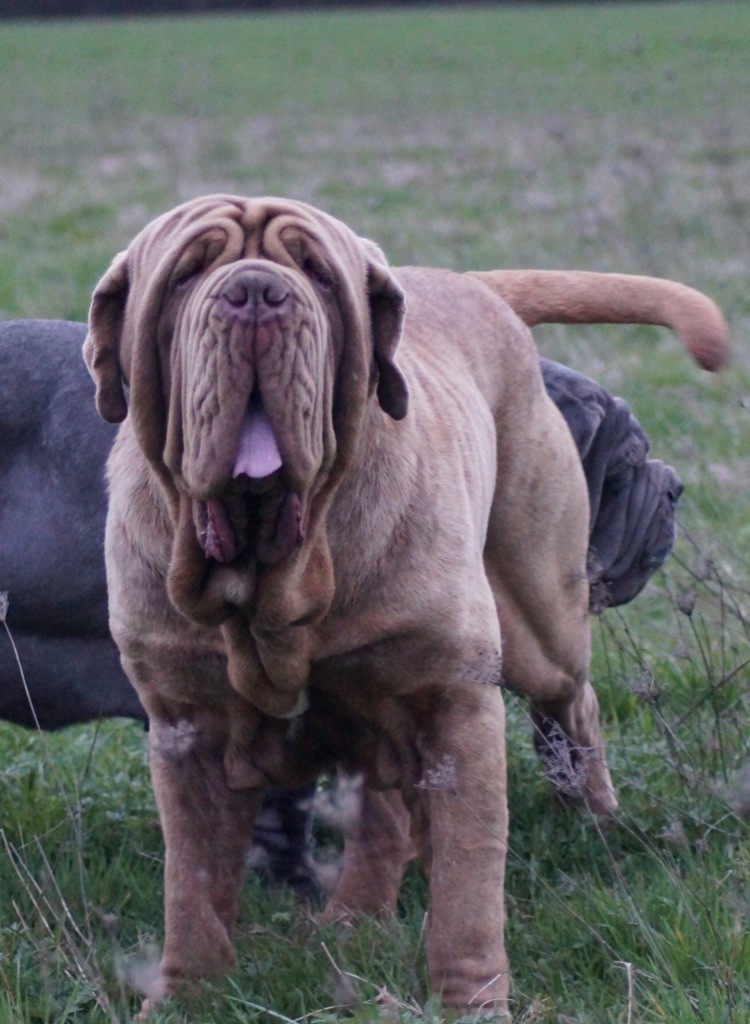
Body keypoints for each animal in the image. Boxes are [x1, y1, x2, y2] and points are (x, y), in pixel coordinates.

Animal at [83, 195, 725, 1019]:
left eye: (319, 274)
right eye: (187, 273)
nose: (256, 293)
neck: (278, 569)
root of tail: (469, 283)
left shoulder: (453, 705)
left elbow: (467, 888)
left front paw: (472, 1001)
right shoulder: (185, 731)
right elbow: (191, 888)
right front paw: (184, 996)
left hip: (536, 623)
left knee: (570, 696)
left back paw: (595, 815)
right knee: (383, 813)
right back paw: (355, 916)